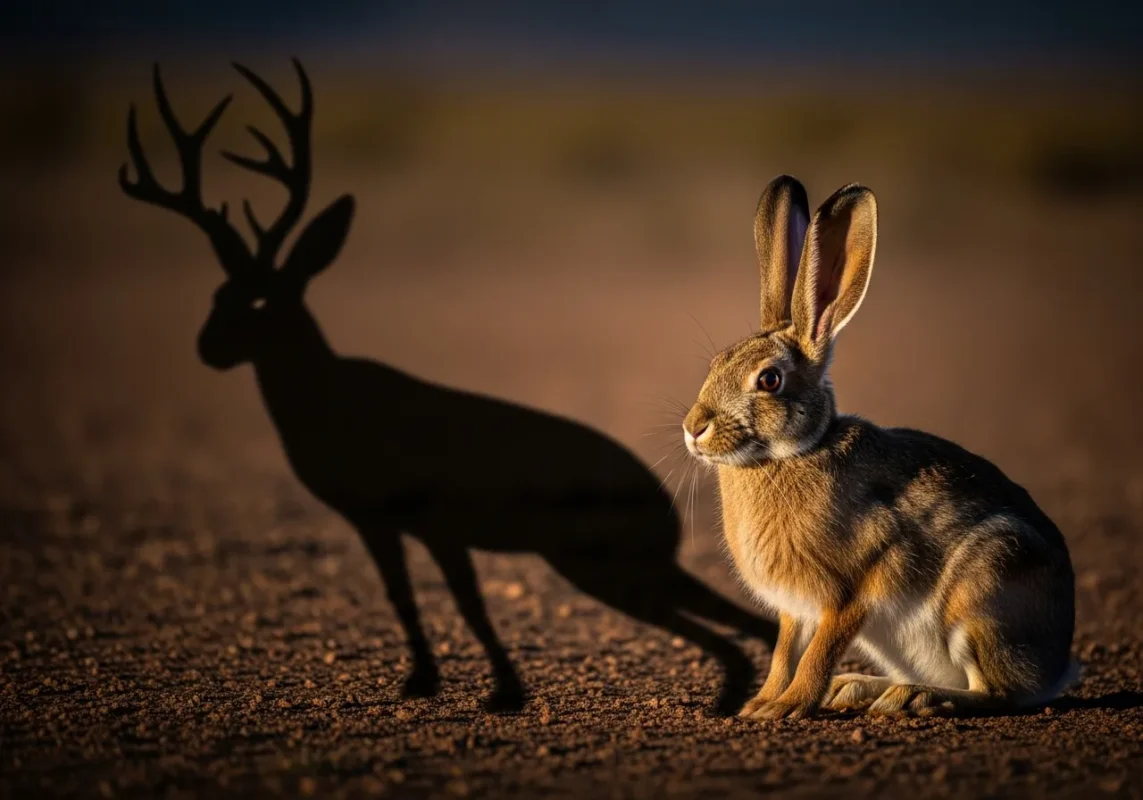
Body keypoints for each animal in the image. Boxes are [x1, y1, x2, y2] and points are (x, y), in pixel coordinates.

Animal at [680, 175, 1078, 719]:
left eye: (769, 380)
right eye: (717, 362)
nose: (693, 427)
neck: (794, 453)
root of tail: (1059, 663)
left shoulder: (861, 582)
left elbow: (819, 651)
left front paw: (790, 706)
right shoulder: (794, 609)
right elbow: (784, 653)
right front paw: (761, 704)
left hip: (984, 592)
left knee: (998, 692)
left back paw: (913, 697)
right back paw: (859, 688)